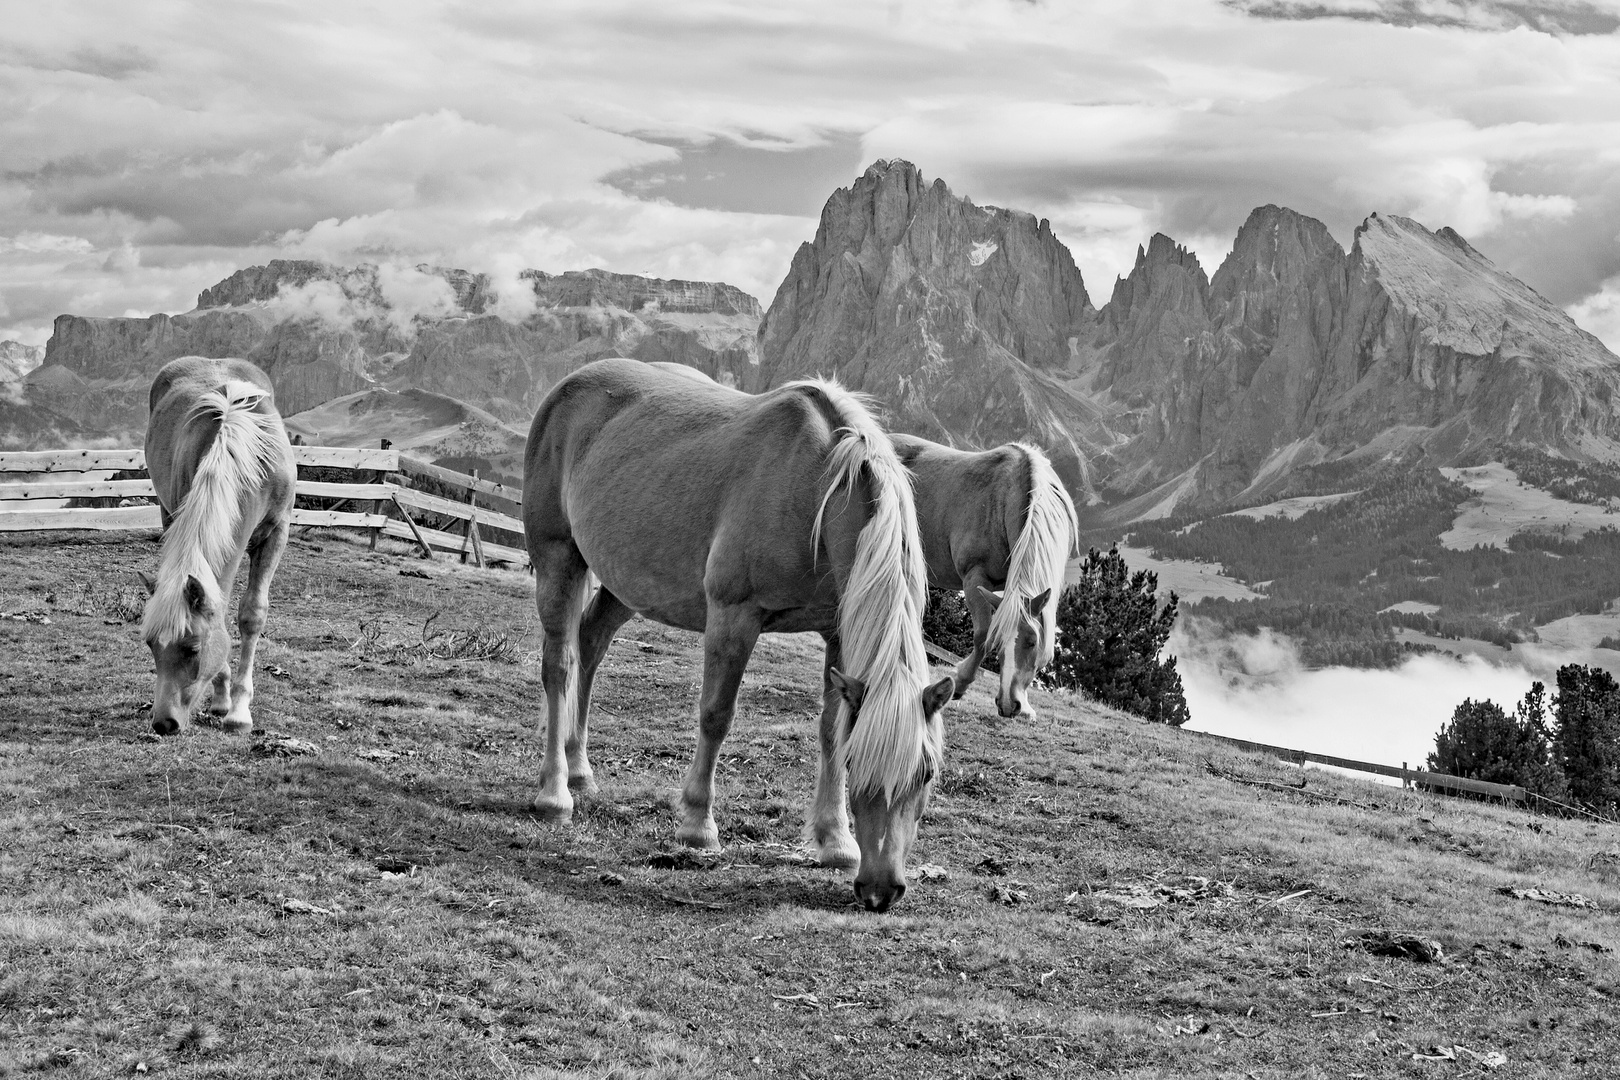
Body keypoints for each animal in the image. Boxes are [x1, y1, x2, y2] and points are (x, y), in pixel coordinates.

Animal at [140, 359, 298, 738]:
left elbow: (252, 615)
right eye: (150, 644)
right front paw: (222, 698)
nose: (163, 723)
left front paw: (239, 712)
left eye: (192, 648)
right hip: (167, 514)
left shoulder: (276, 534)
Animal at [518, 361, 952, 913]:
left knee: (591, 646)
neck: (818, 486)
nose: (880, 891)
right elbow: (716, 716)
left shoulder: (837, 633)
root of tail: (568, 387)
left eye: (928, 773)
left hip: (625, 584)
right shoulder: (733, 617)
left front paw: (836, 840)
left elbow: (831, 728)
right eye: (860, 765)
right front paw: (697, 826)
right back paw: (556, 793)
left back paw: (580, 770)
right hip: (559, 559)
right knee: (560, 666)